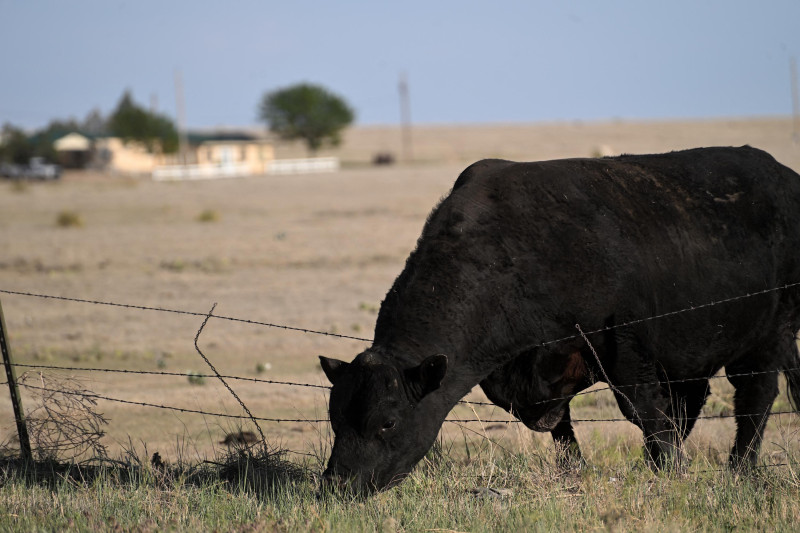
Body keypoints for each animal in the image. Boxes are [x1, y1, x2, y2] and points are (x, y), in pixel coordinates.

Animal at [319, 146, 800, 494]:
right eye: (335, 419)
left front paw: (669, 470)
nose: (337, 484)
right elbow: (563, 427)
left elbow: (643, 410)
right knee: (694, 400)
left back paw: (739, 469)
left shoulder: (623, 348)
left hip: (769, 335)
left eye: (387, 422)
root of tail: (783, 174)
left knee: (755, 397)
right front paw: (575, 471)